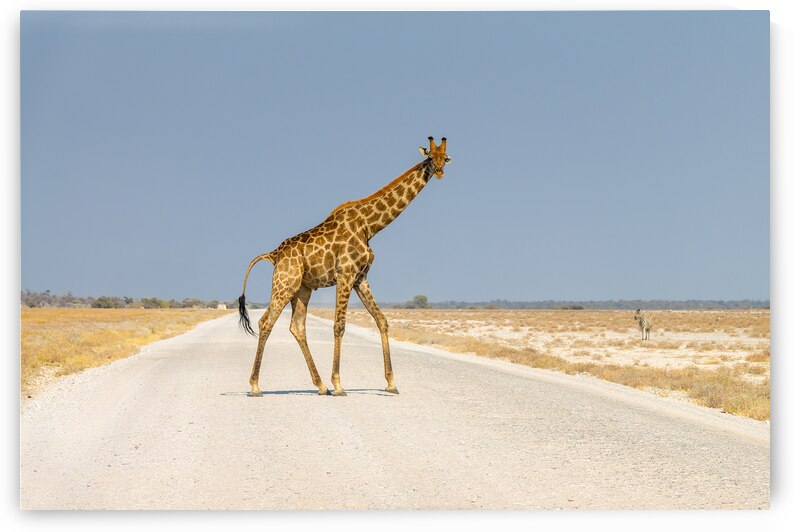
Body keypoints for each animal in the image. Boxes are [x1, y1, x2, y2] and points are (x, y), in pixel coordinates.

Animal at [238, 136, 452, 396]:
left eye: (446, 158)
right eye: (430, 157)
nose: (439, 171)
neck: (370, 226)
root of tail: (274, 254)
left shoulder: (361, 277)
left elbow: (382, 320)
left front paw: (391, 383)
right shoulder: (345, 273)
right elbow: (339, 326)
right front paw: (339, 384)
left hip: (301, 288)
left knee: (297, 326)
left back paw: (320, 386)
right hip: (285, 283)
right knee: (266, 322)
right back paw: (256, 386)